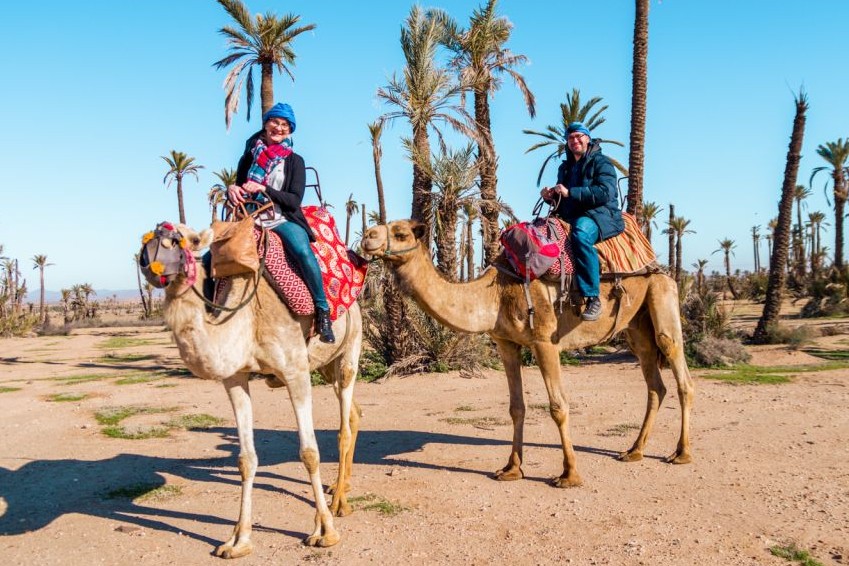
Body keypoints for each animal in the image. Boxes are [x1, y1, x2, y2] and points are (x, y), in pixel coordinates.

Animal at [138, 225, 362, 560]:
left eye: (188, 240)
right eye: (146, 238)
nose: (147, 260)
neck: (248, 317)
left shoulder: (295, 371)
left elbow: (309, 453)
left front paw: (325, 531)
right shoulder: (235, 377)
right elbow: (246, 459)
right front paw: (237, 541)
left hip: (350, 346)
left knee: (344, 423)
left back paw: (339, 504)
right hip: (325, 365)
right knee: (354, 413)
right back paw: (340, 489)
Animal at [362, 221, 692, 488]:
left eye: (400, 233)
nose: (367, 237)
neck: (493, 294)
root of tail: (658, 267)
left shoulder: (545, 340)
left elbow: (558, 406)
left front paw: (569, 475)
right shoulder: (506, 342)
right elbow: (516, 407)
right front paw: (511, 468)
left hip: (662, 297)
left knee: (679, 371)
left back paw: (681, 453)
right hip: (636, 327)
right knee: (655, 384)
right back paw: (634, 451)